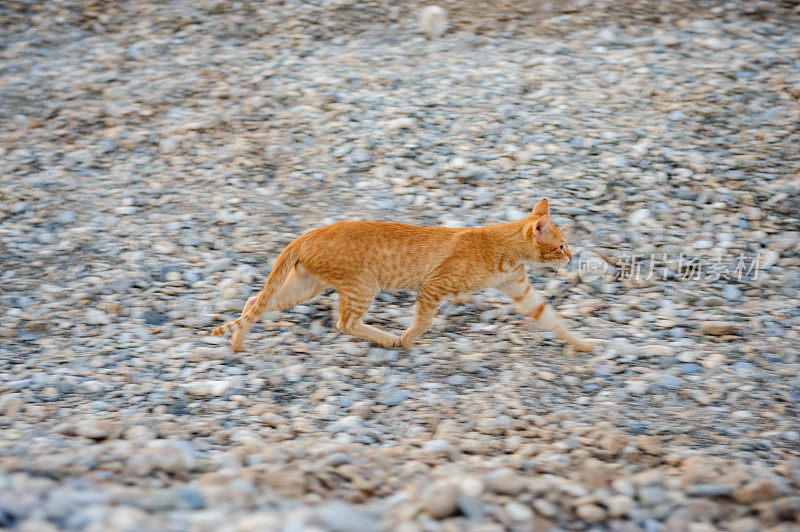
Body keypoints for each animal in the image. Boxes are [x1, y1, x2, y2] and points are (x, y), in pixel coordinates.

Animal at [209, 200, 596, 354]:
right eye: (562, 245)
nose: (571, 256)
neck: (502, 246)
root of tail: (307, 234)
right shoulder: (434, 286)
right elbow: (423, 320)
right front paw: (408, 340)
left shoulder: (519, 289)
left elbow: (552, 318)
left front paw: (582, 344)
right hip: (363, 285)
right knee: (345, 323)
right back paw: (388, 339)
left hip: (305, 287)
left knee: (255, 301)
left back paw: (238, 342)